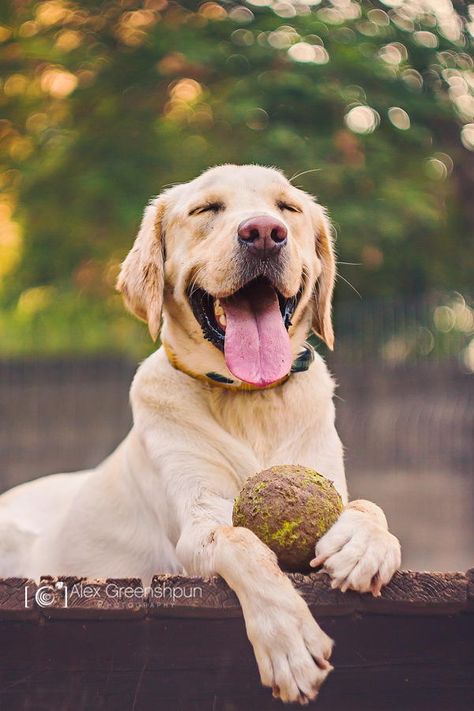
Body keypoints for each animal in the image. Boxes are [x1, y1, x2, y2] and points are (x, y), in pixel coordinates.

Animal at [0, 164, 400, 704]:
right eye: (206, 209)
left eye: (288, 209)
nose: (264, 233)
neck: (250, 399)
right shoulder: (198, 524)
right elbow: (242, 542)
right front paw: (290, 641)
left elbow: (367, 505)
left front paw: (363, 545)